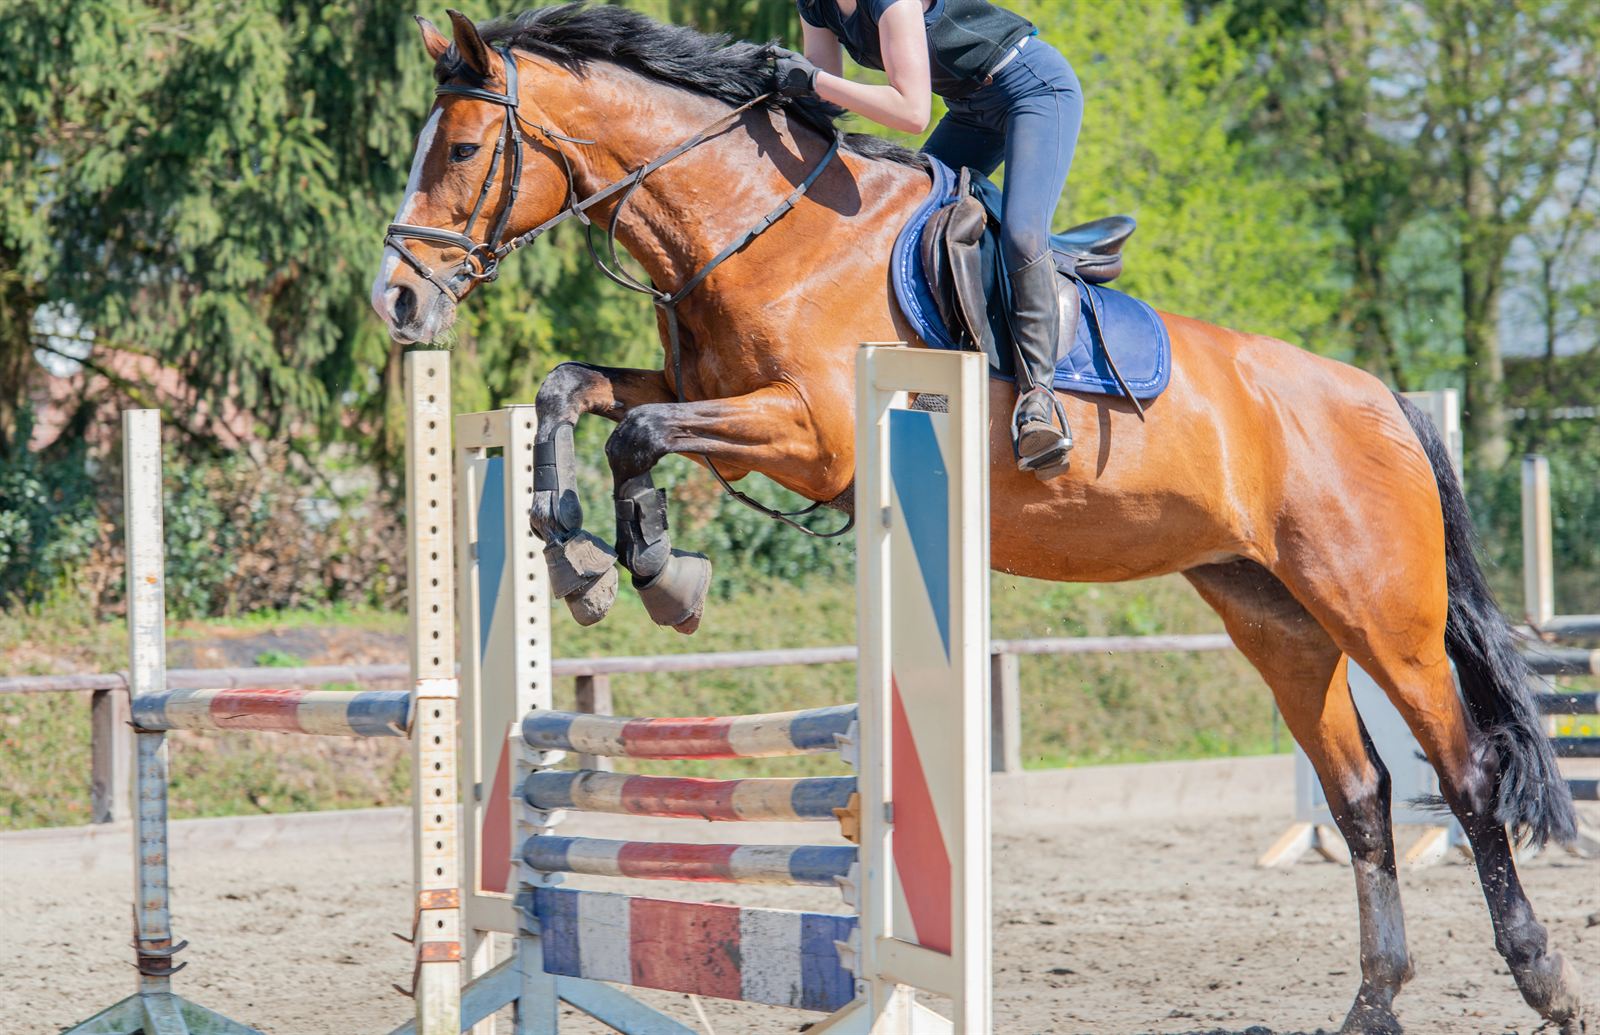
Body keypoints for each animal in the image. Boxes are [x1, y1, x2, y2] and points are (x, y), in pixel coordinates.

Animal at [369, 7, 1587, 1033]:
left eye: (463, 152)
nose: (399, 302)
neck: (756, 230)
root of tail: (1377, 395)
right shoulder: (702, 392)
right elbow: (575, 391)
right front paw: (577, 550)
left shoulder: (814, 435)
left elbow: (636, 433)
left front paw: (659, 572)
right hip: (1277, 619)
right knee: (1363, 796)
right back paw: (1374, 1002)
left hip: (1380, 614)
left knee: (1465, 775)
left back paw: (1545, 980)